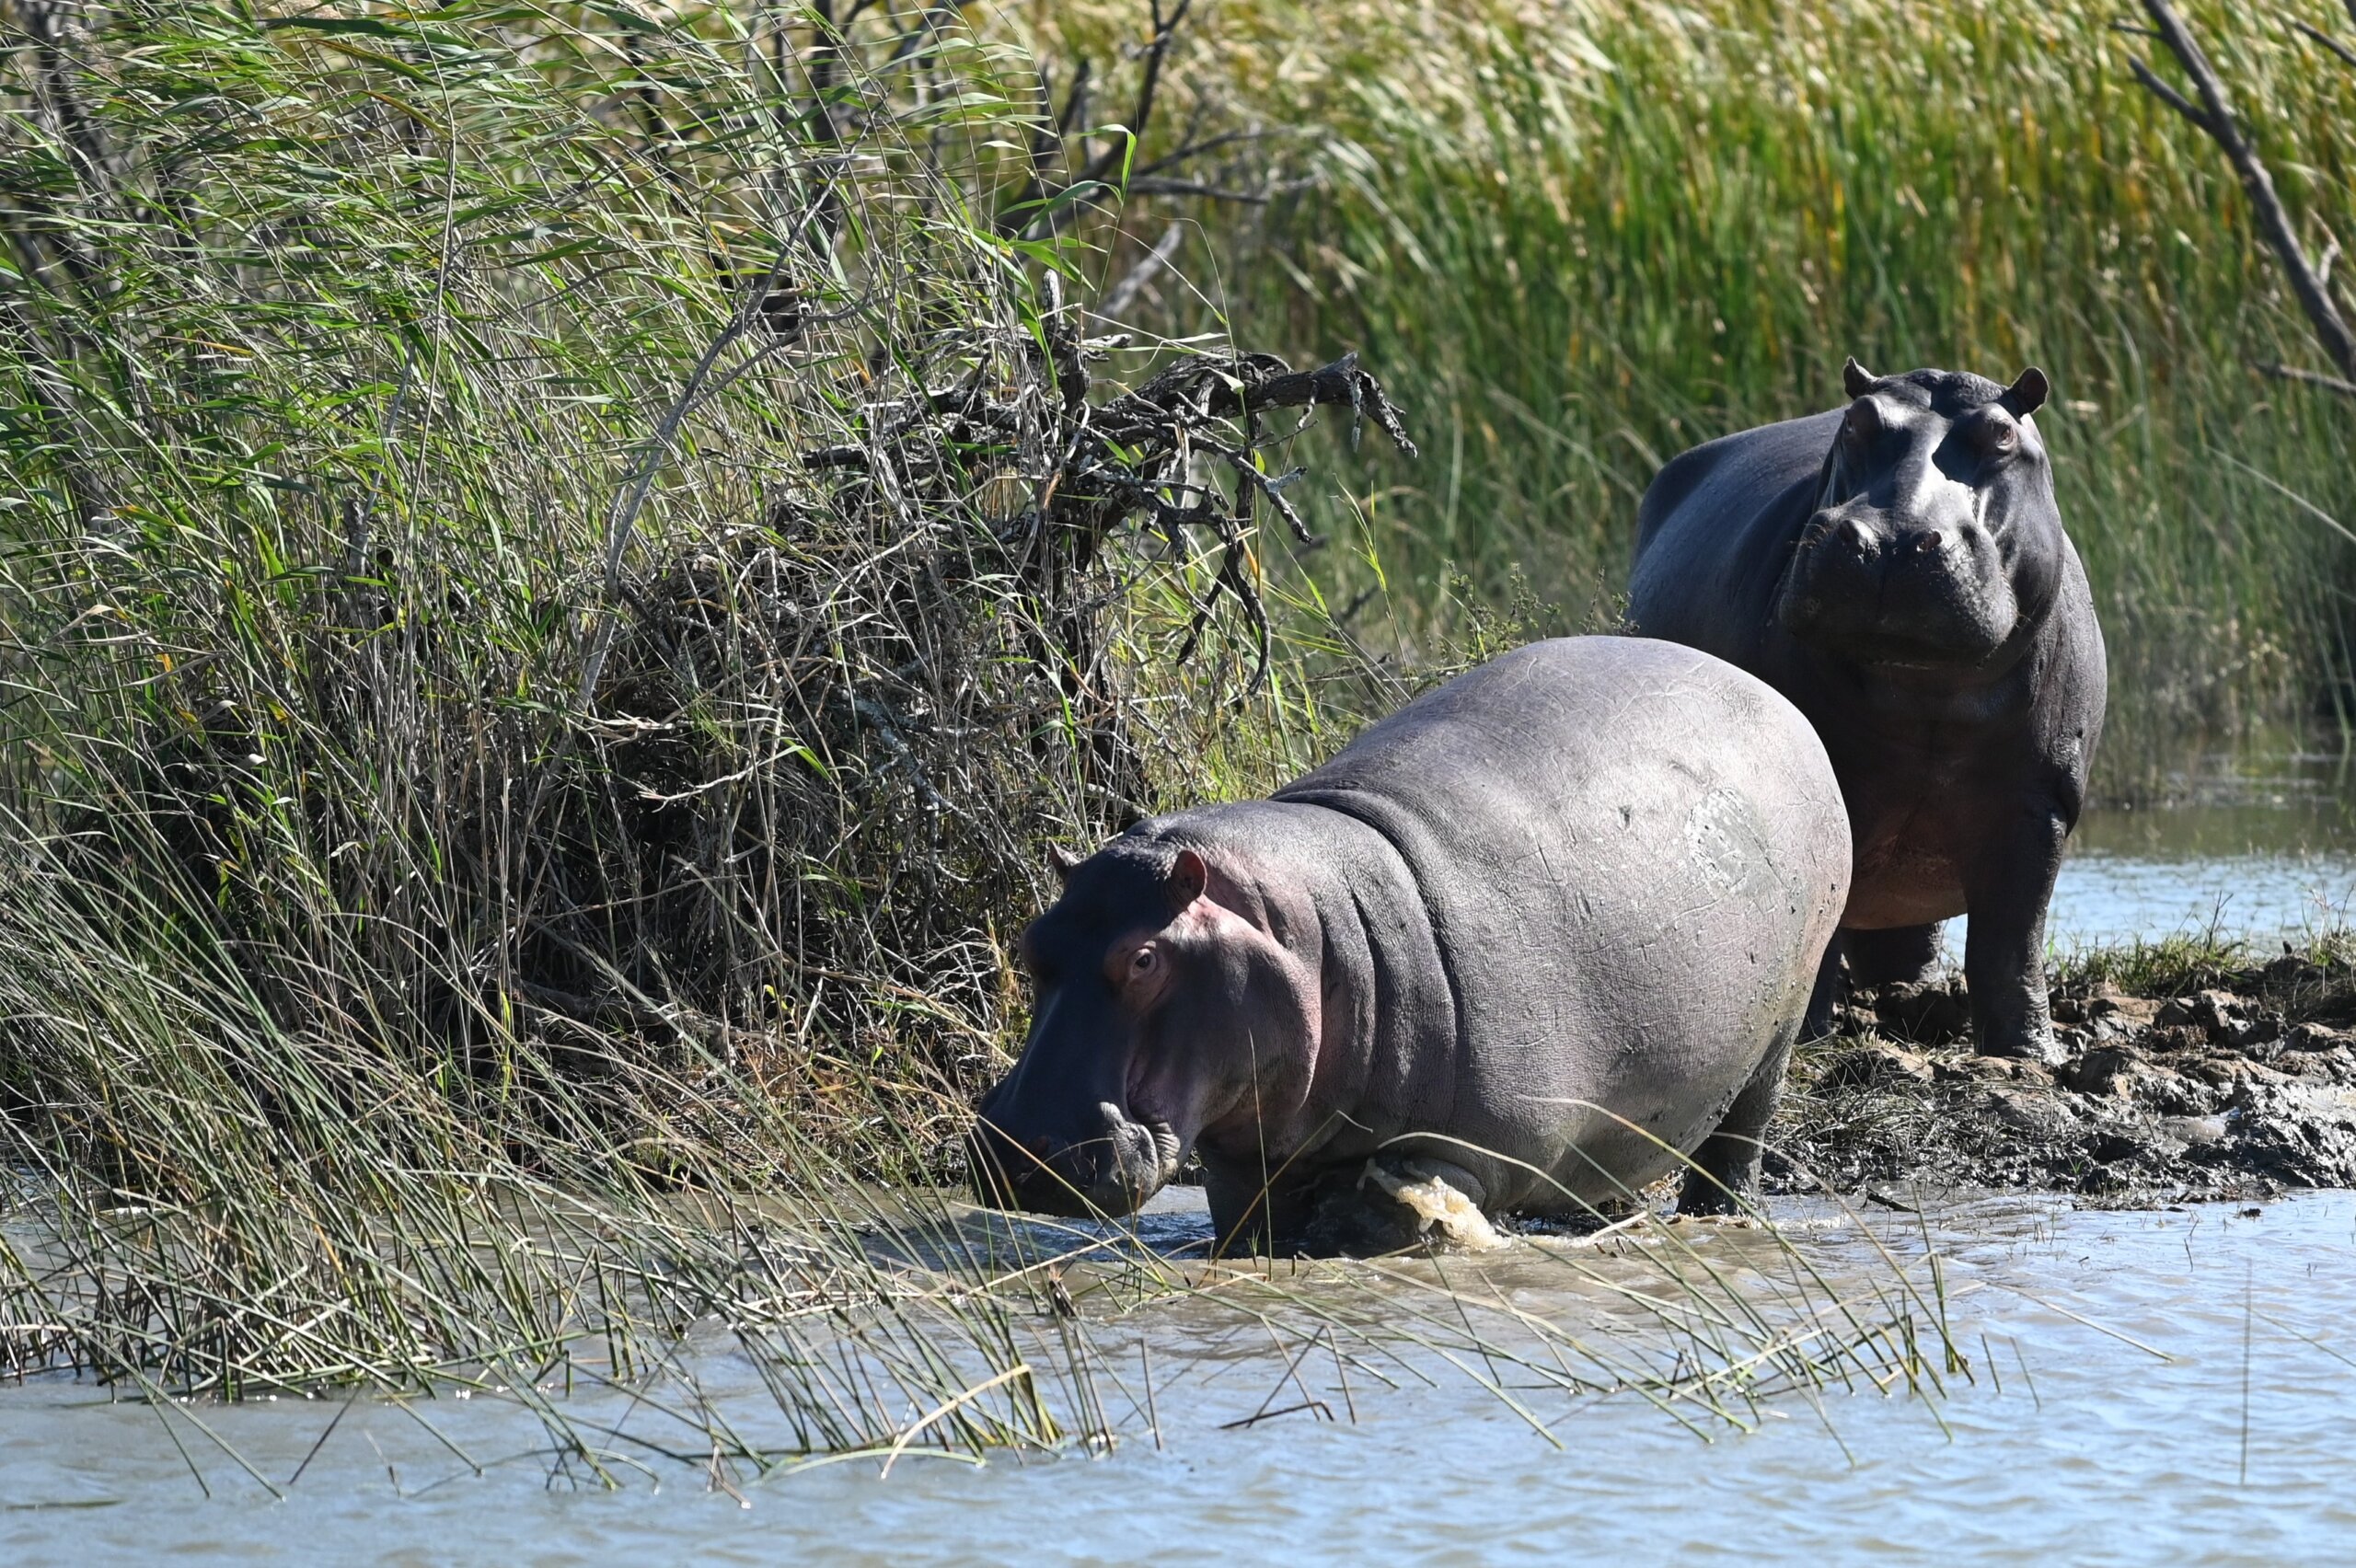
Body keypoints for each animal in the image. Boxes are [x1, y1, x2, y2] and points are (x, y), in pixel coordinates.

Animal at [968, 636, 1850, 1254]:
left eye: (1145, 959)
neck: (1313, 932)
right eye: (1032, 942)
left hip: (1780, 1026)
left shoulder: (1464, 1152)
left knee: (1739, 1141)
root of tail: (1775, 698)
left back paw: (1721, 1214)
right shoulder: (1244, 1165)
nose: (1013, 1147)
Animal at [1628, 360, 2106, 1064]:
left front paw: (2027, 1056)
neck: (1927, 694)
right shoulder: (1839, 790)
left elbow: (2012, 940)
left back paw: (1918, 993)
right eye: (1855, 422)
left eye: (2001, 434)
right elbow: (1822, 921)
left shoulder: (2037, 800)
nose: (1890, 538)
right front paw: (1807, 1040)